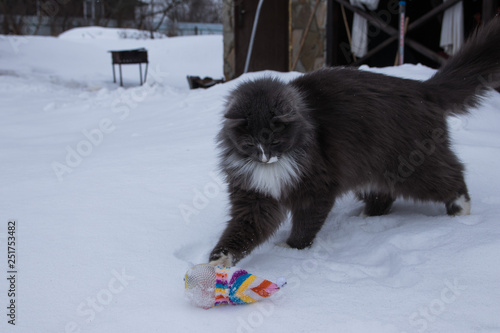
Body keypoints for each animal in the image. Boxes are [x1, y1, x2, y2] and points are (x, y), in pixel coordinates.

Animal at [208, 19, 500, 266]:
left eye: (275, 140)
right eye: (250, 144)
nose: (264, 157)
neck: (274, 168)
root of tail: (422, 88)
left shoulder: (318, 186)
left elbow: (305, 224)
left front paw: (292, 250)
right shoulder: (255, 197)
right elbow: (244, 230)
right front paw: (218, 259)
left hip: (413, 165)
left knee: (452, 175)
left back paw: (461, 210)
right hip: (372, 169)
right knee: (384, 196)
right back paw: (364, 219)